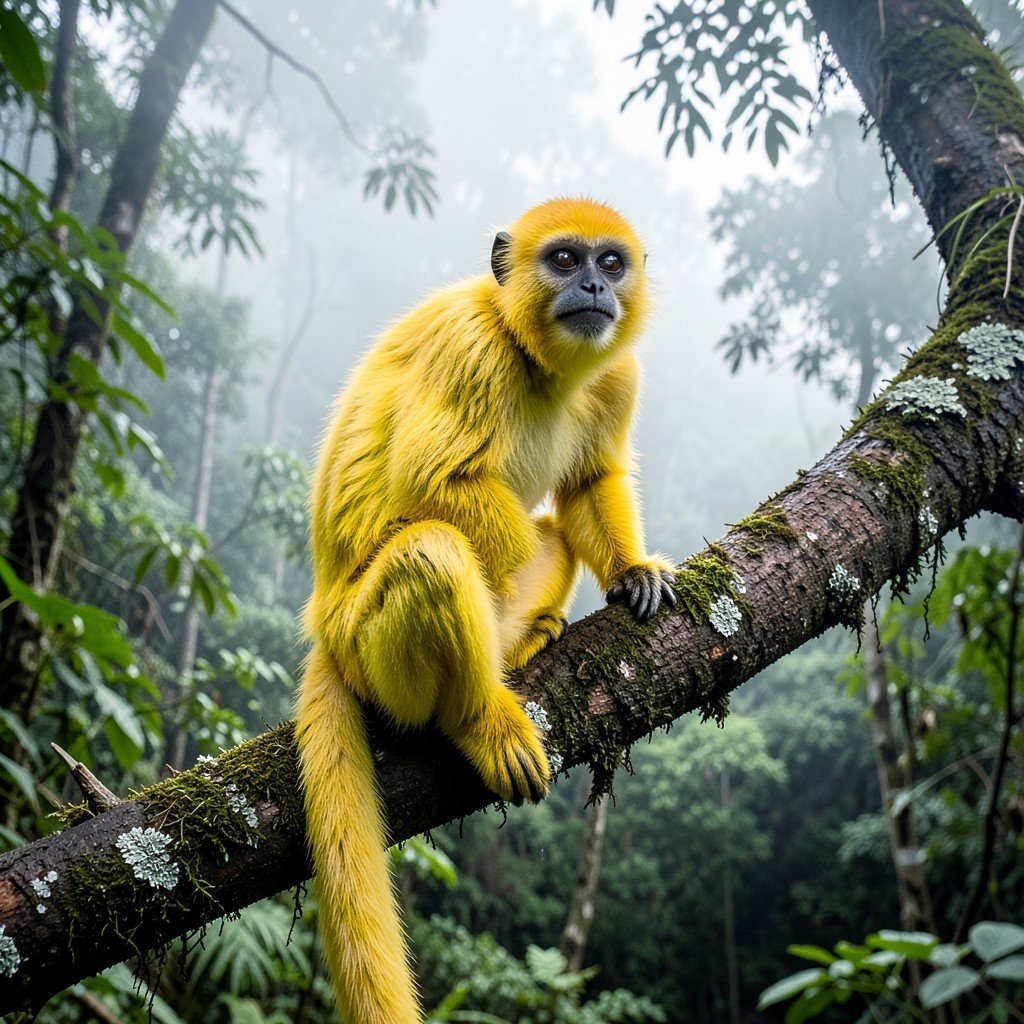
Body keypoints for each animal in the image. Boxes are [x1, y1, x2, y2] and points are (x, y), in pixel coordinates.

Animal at [295, 197, 676, 1024]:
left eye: (610, 263)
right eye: (564, 261)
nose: (594, 289)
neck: (545, 367)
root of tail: (323, 631)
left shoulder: (618, 373)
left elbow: (588, 482)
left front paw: (632, 571)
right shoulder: (472, 347)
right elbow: (432, 481)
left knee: (550, 533)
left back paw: (524, 640)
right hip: (364, 645)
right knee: (434, 552)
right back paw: (477, 717)